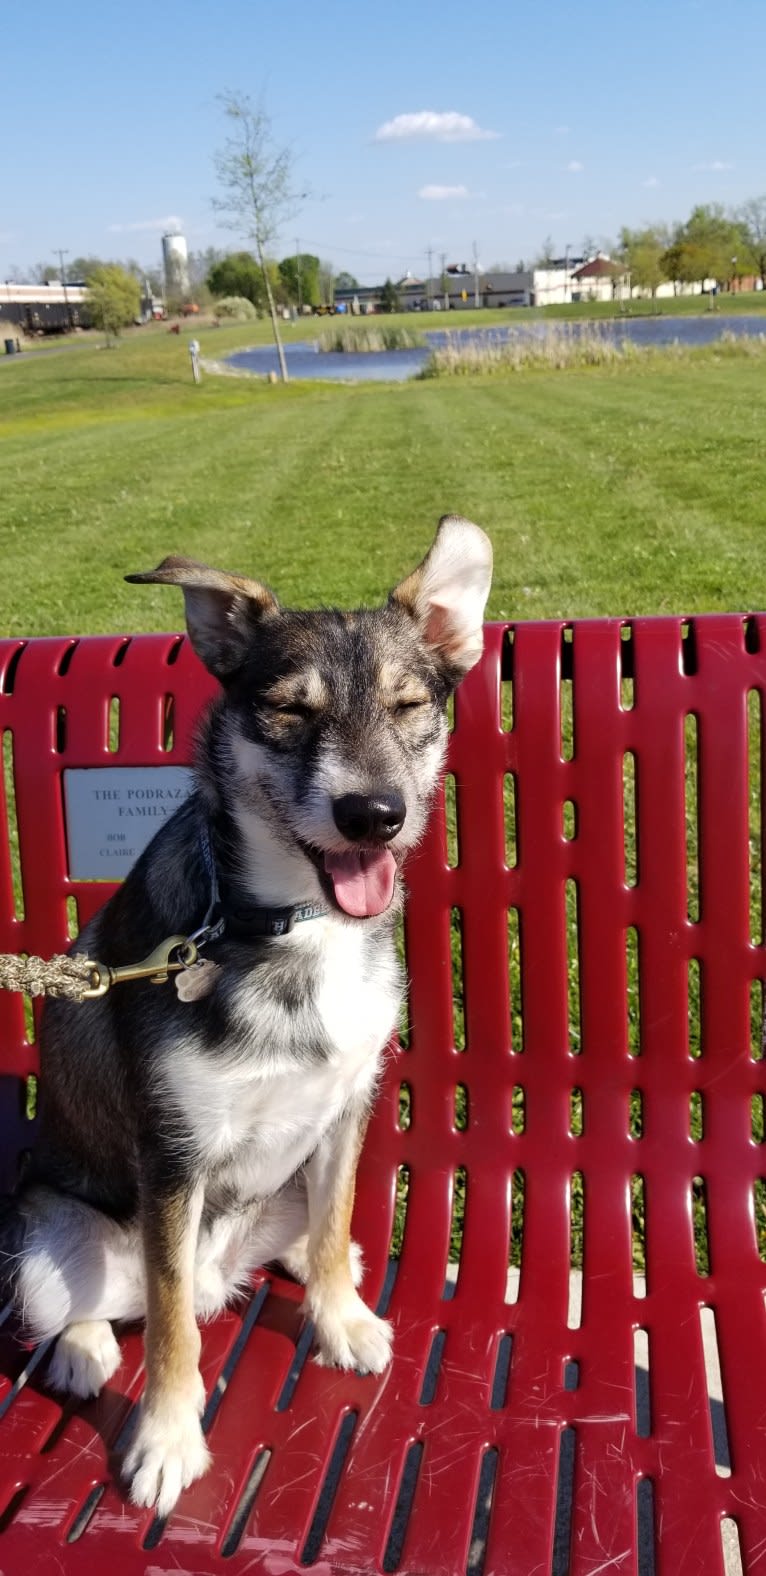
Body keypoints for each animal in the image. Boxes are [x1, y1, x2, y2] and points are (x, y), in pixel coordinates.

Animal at [0, 513, 491, 1512]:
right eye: (290, 712)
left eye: (409, 705)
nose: (374, 814)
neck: (287, 926)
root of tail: (225, 1277)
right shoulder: (173, 1156)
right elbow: (171, 1328)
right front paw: (166, 1439)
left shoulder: (346, 1111)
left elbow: (336, 1225)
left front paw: (339, 1318)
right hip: (43, 1230)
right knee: (102, 1301)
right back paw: (85, 1347)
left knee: (293, 1236)